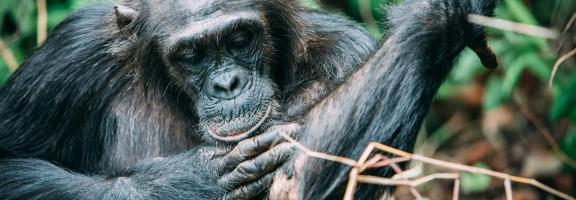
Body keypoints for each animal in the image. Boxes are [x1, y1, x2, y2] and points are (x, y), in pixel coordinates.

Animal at [0, 0, 496, 198]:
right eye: (192, 54)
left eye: (240, 38)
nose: (228, 84)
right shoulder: (74, 49)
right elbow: (10, 160)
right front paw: (184, 182)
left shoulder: (345, 53)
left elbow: (301, 177)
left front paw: (442, 15)